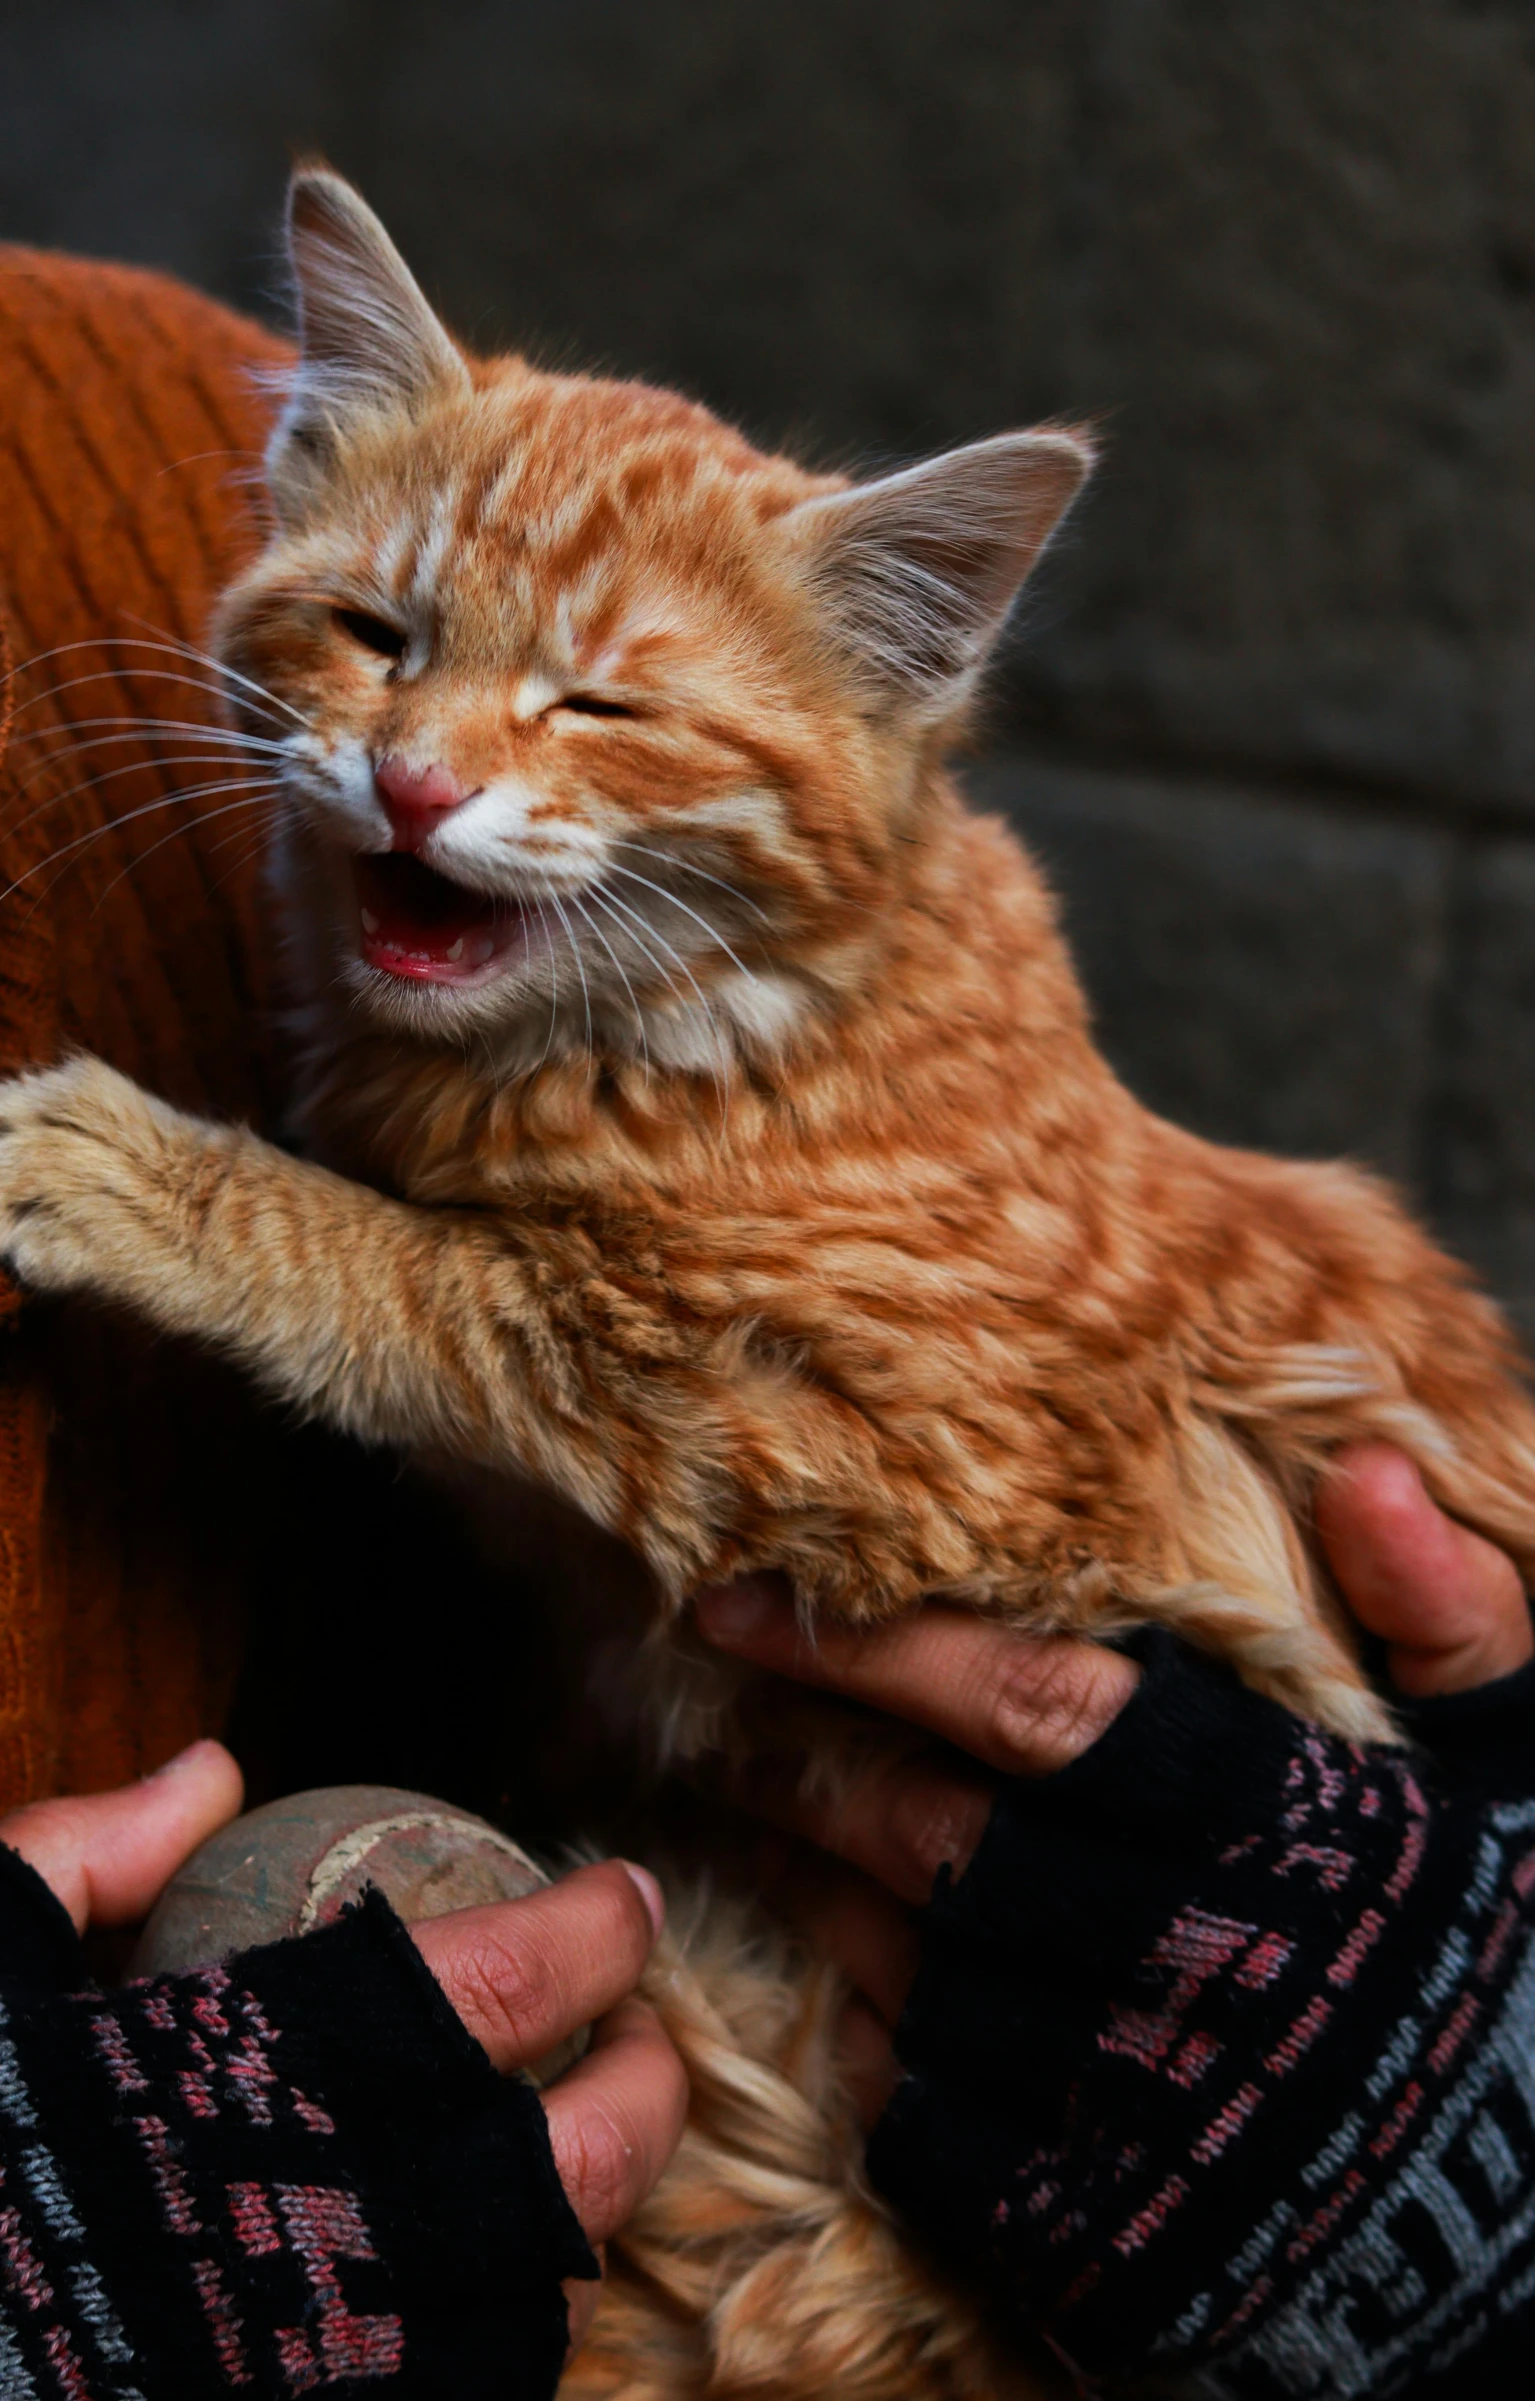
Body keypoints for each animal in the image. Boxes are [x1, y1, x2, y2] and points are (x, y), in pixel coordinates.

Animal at [9, 174, 1535, 2401]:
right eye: (378, 636)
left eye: (596, 707)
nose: (409, 788)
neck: (717, 1036)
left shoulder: (908, 1445)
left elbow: (442, 1288)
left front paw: (129, 1173)